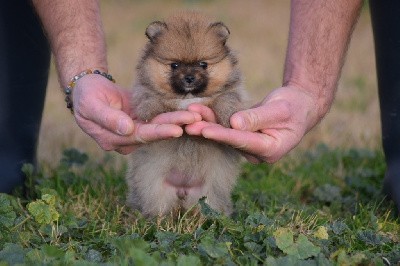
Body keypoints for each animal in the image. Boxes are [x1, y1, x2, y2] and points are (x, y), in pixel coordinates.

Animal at [126, 11, 245, 217]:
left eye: (203, 64)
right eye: (174, 65)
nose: (189, 78)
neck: (188, 97)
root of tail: (182, 190)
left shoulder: (231, 91)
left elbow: (226, 99)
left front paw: (229, 115)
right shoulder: (144, 89)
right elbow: (149, 98)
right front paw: (149, 110)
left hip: (209, 194)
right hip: (154, 190)